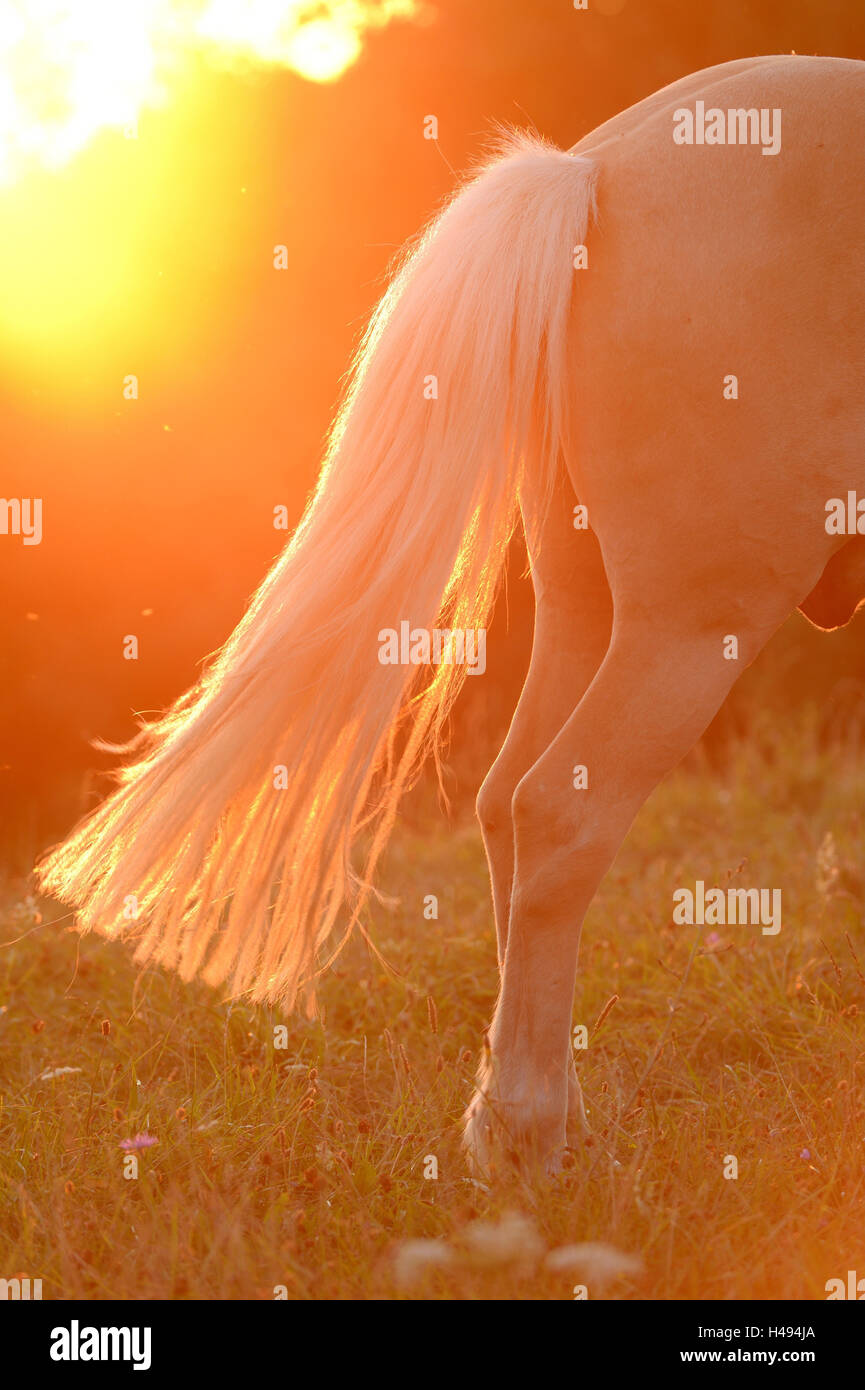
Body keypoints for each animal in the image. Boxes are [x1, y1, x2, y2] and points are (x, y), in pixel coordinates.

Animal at [37, 55, 864, 1173]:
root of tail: (595, 169)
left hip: (584, 600)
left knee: (510, 802)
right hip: (690, 623)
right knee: (559, 811)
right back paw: (525, 1127)